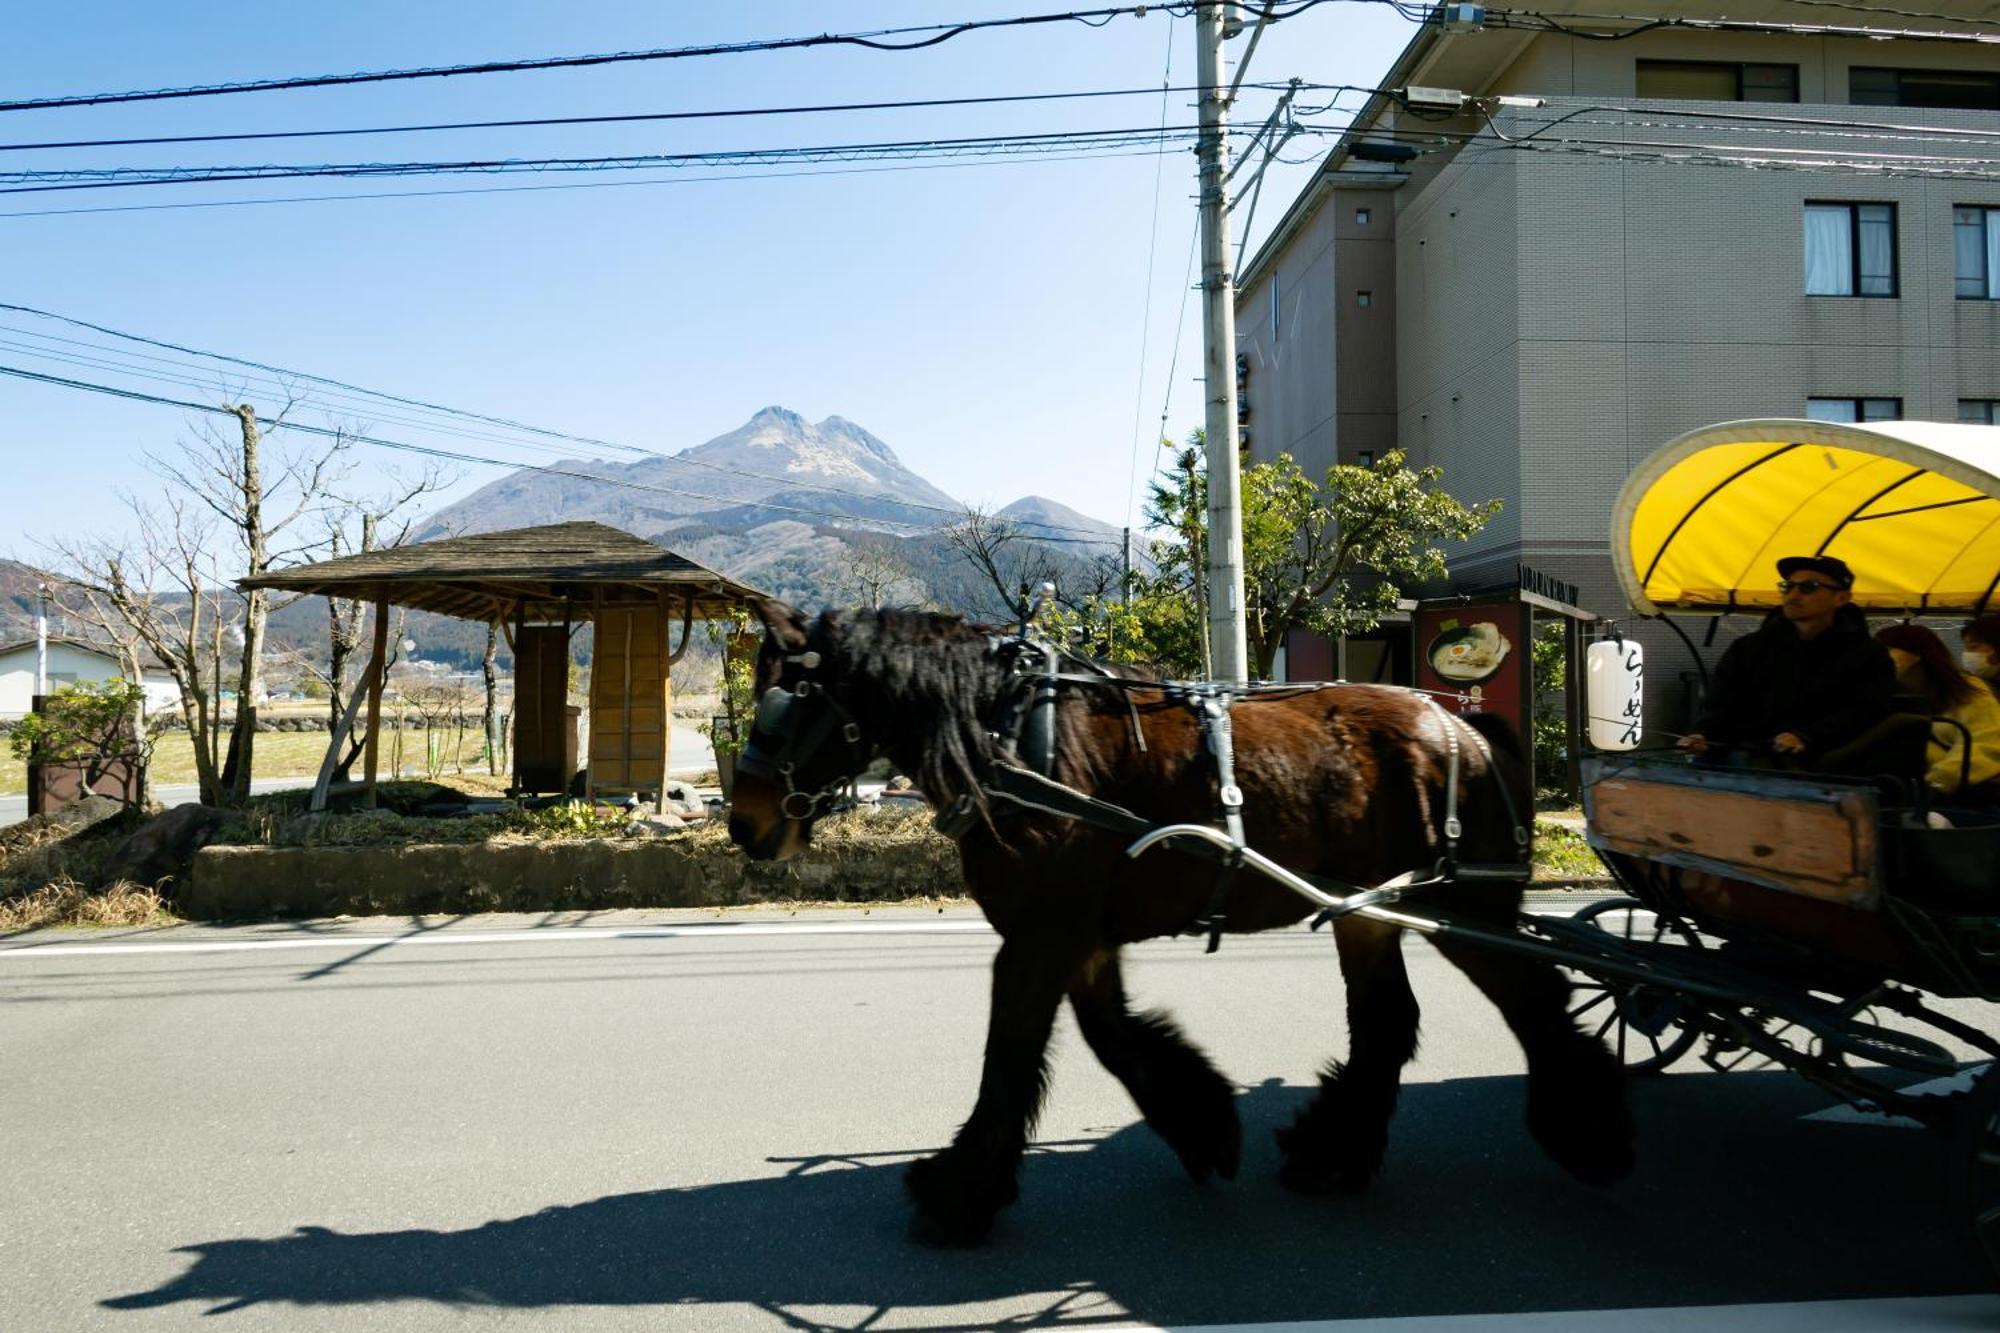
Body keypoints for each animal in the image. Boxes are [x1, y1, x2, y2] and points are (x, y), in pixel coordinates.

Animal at [728, 600, 1632, 1248]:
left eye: (781, 704)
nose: (743, 822)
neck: (1014, 737)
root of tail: (1466, 724)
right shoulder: (1077, 935)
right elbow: (1114, 1038)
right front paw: (1204, 1125)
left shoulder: (1041, 933)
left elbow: (1010, 1055)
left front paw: (958, 1194)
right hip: (1372, 909)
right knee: (1387, 1024)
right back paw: (1331, 1152)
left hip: (1460, 905)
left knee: (1532, 1002)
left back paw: (1588, 1130)